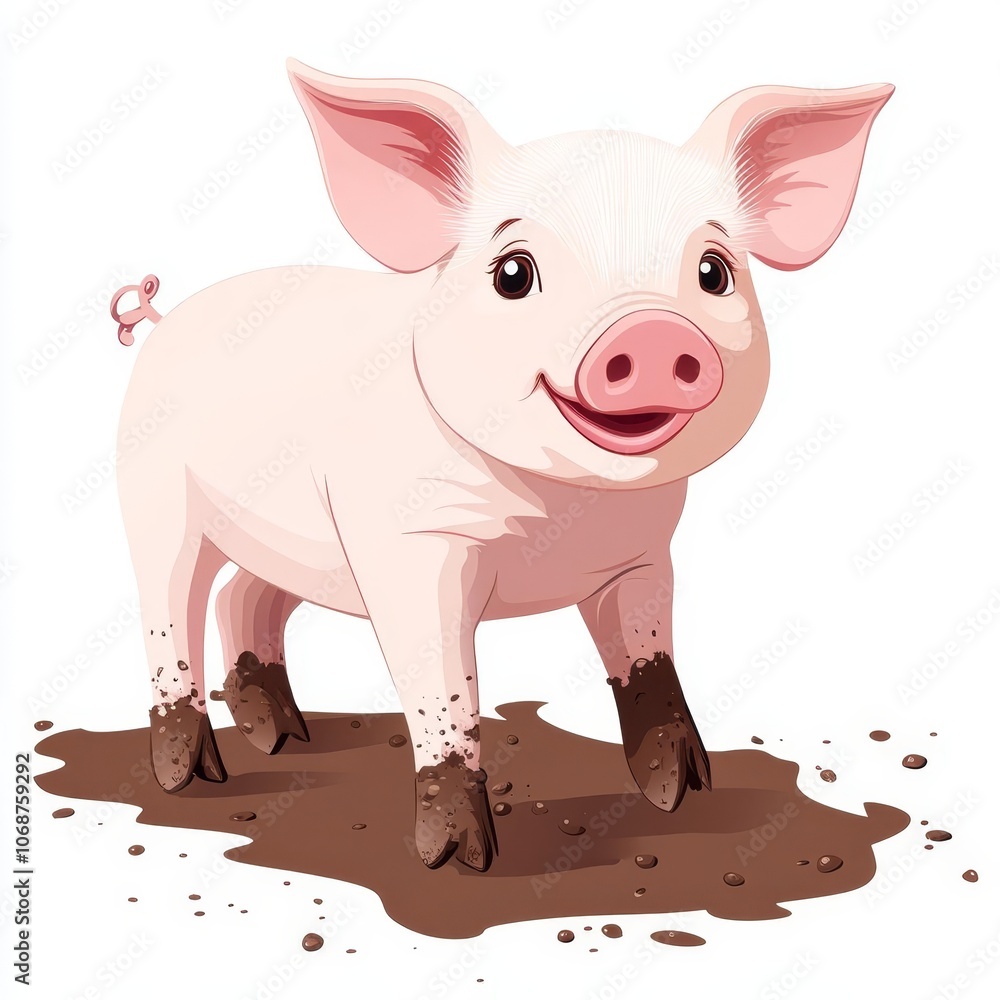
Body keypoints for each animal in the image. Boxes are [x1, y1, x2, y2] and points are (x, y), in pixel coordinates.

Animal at [113, 58, 892, 872]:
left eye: (714, 272)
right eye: (513, 274)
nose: (650, 333)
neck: (561, 512)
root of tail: (161, 321)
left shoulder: (646, 555)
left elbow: (649, 662)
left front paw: (682, 794)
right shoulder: (409, 546)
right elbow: (445, 693)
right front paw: (460, 863)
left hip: (296, 539)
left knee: (245, 595)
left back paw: (285, 736)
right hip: (153, 498)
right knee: (170, 610)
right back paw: (192, 777)